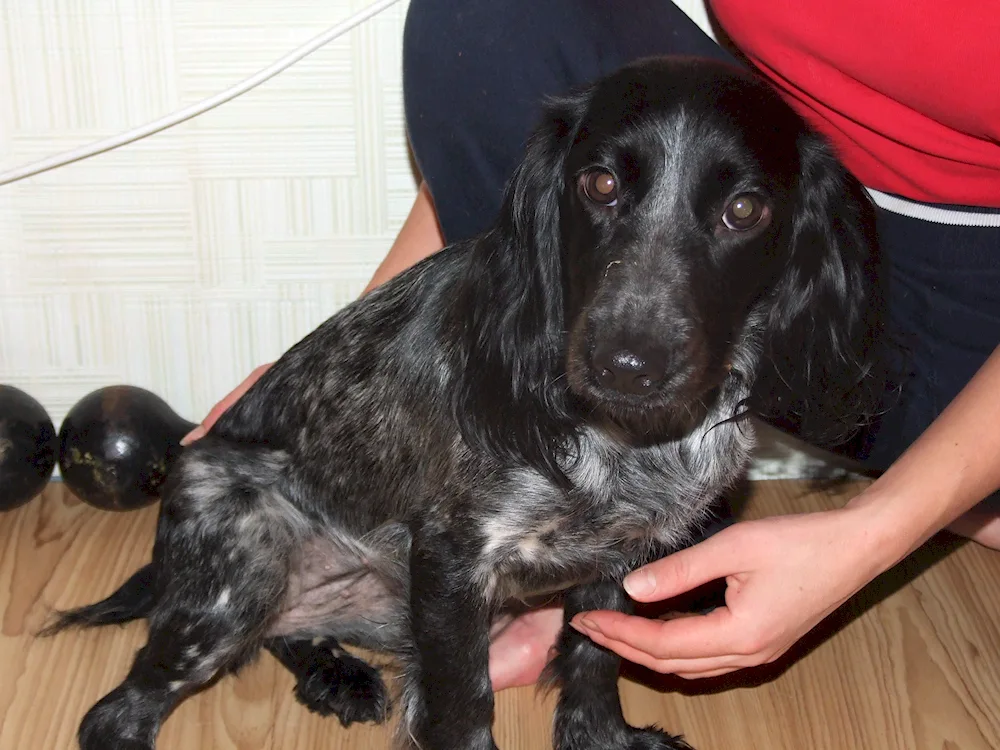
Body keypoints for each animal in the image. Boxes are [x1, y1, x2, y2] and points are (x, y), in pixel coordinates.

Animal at [45, 57, 892, 750]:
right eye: (600, 185)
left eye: (745, 210)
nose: (627, 366)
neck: (629, 440)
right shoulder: (453, 562)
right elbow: (464, 709)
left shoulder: (617, 557)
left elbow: (594, 660)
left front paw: (603, 742)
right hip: (240, 570)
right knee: (116, 715)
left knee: (289, 633)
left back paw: (334, 674)